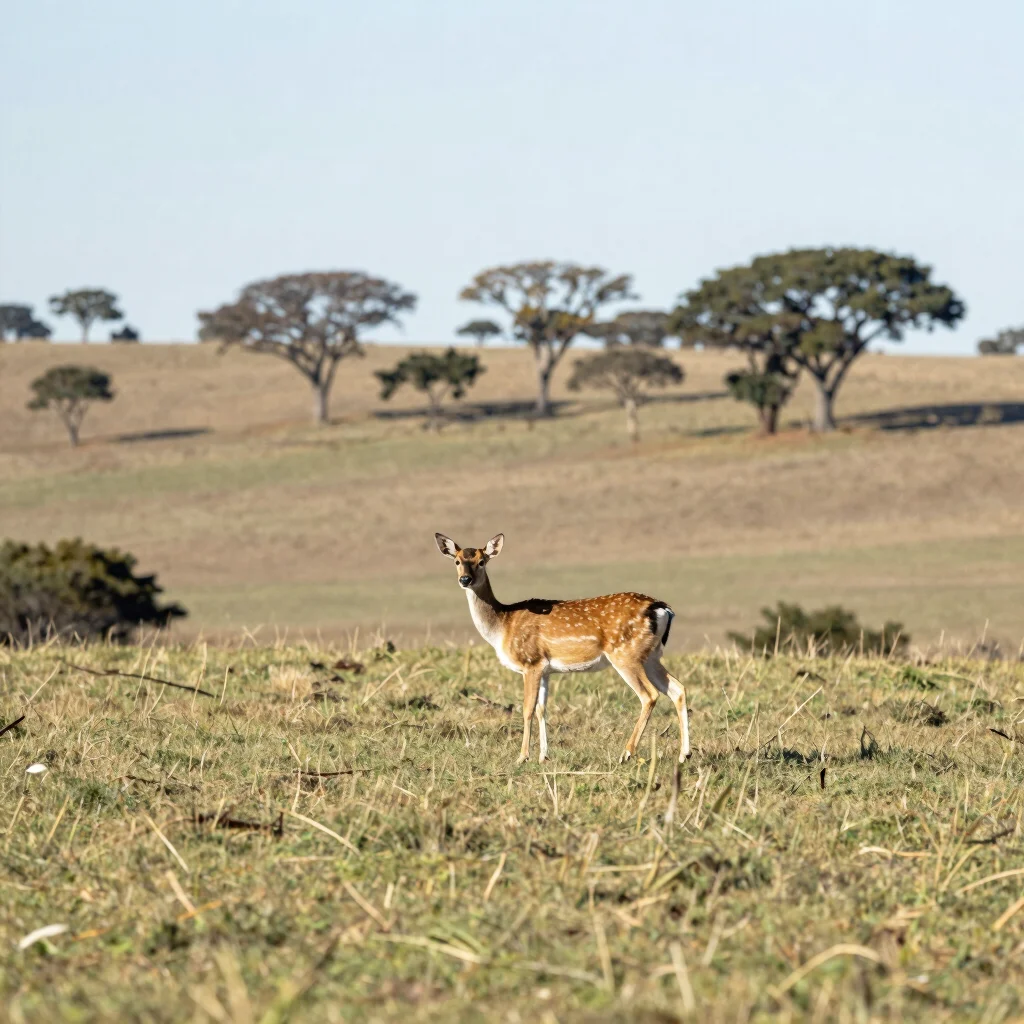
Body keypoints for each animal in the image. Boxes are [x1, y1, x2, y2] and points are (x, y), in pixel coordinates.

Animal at [434, 532, 691, 766]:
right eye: (457, 560)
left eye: (482, 561)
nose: (465, 579)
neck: (502, 625)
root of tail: (662, 609)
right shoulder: (545, 669)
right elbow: (542, 709)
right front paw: (543, 756)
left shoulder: (530, 662)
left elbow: (527, 708)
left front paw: (522, 757)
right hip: (651, 655)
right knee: (677, 688)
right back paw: (684, 754)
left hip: (625, 653)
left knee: (649, 695)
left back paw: (626, 753)